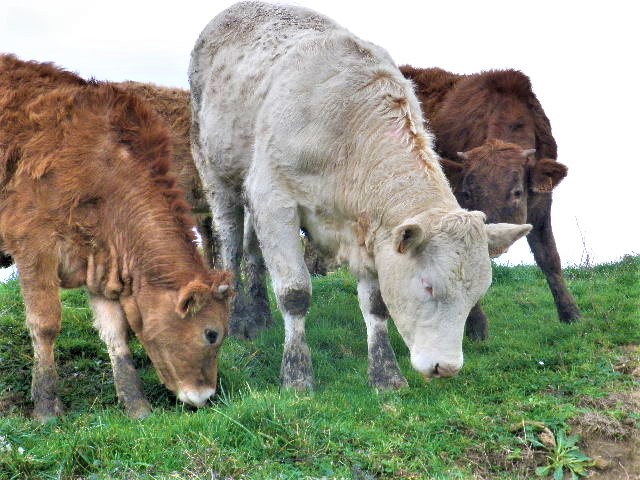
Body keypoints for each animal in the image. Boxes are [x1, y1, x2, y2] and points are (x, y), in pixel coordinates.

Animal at [0, 54, 235, 418]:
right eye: (212, 334)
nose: (207, 396)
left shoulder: (100, 260)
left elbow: (117, 334)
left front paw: (136, 403)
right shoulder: (34, 248)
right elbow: (45, 325)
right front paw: (46, 405)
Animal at [188, 0, 528, 390]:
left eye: (477, 293)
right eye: (428, 286)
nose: (447, 367)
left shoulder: (371, 231)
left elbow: (376, 304)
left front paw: (386, 374)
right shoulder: (273, 198)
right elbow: (294, 293)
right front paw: (297, 375)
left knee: (252, 249)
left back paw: (256, 318)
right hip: (216, 172)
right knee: (229, 245)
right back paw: (233, 318)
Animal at [402, 65, 584, 340]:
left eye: (517, 192)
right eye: (466, 193)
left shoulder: (542, 206)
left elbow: (550, 257)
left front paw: (570, 313)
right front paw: (476, 328)